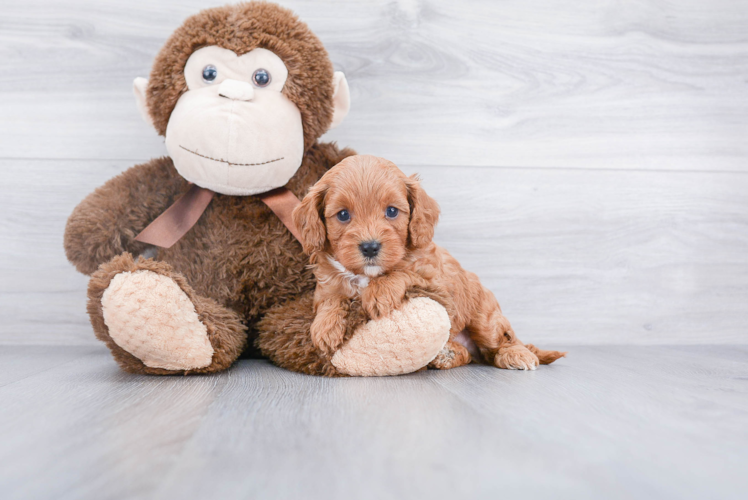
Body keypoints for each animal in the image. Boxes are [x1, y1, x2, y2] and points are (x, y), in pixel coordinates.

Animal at [296, 154, 564, 370]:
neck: (367, 275)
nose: (370, 246)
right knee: (470, 354)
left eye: (392, 211)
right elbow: (331, 298)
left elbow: (402, 274)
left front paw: (379, 293)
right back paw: (448, 354)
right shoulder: (327, 285)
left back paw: (517, 355)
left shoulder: (437, 284)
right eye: (343, 215)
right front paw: (326, 326)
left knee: (502, 340)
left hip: (484, 318)